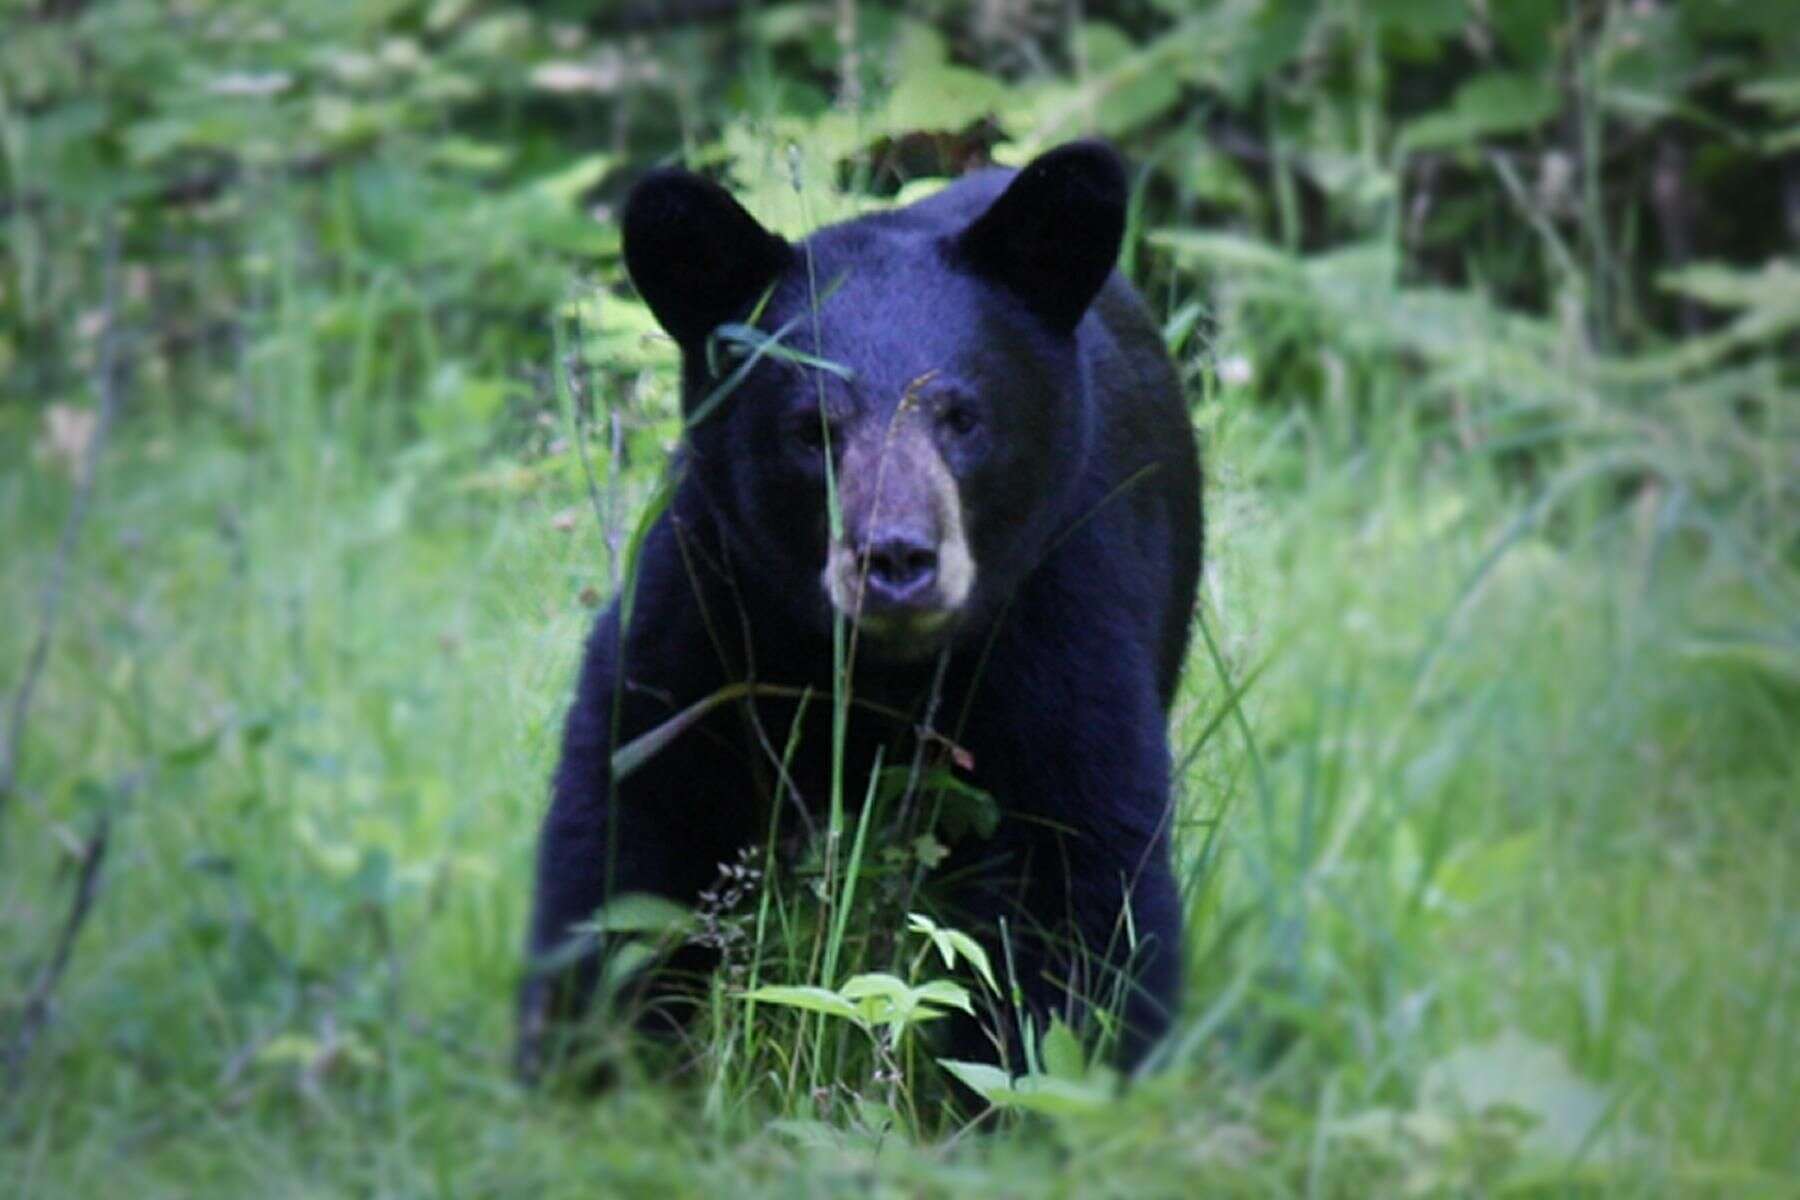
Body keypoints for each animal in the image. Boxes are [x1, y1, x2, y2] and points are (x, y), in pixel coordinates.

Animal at [514, 141, 1202, 1079]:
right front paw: (588, 1064)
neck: (882, 668)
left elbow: (1079, 878)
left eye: (962, 416)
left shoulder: (1060, 610)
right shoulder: (710, 604)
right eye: (811, 430)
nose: (896, 557)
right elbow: (631, 824)